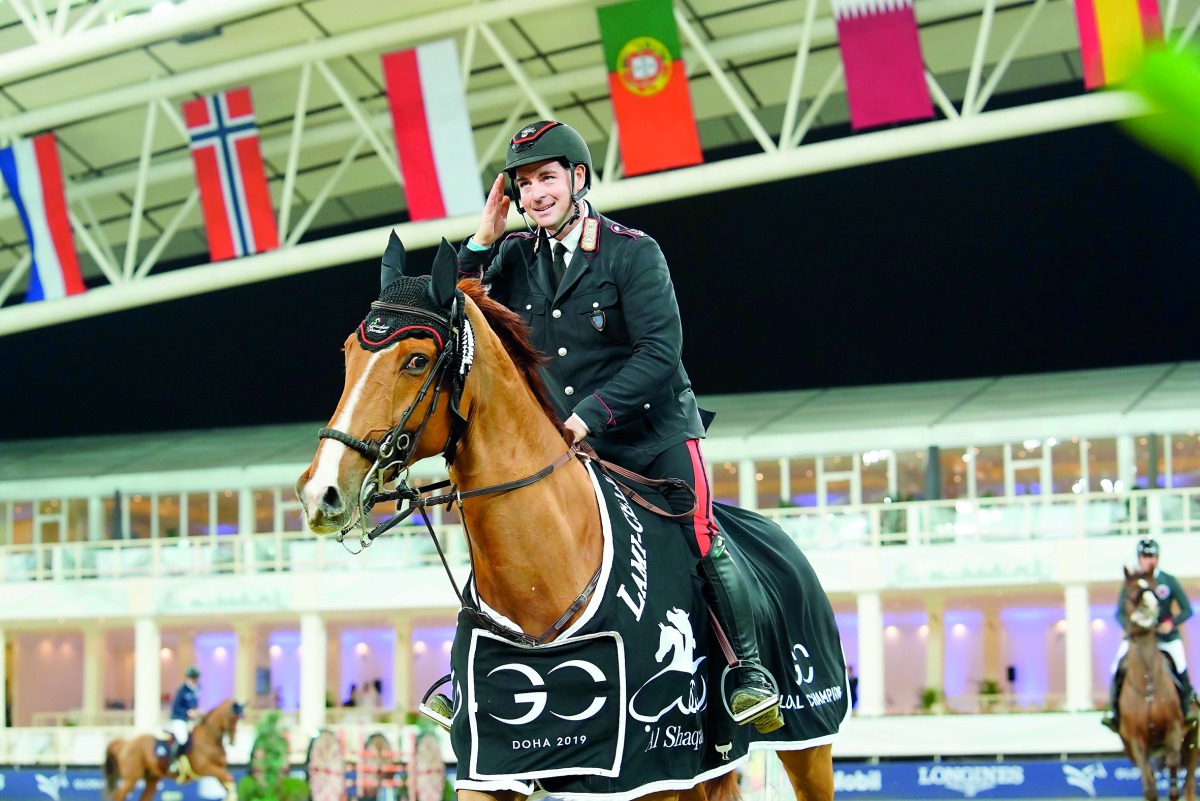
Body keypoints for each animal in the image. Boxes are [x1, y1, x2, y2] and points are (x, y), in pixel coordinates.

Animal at [105, 695, 241, 801]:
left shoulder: (219, 768)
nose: (233, 741)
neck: (208, 738)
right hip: (131, 778)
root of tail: (127, 743)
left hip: (151, 779)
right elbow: (229, 778)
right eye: (232, 718)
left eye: (239, 718)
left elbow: (229, 781)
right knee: (118, 795)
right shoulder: (205, 767)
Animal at [300, 241, 835, 801]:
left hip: (807, 747)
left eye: (417, 360)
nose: (320, 493)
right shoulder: (493, 768)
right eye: (348, 354)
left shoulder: (647, 773)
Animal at [1118, 568, 1195, 801]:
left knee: (1188, 784)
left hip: (1192, 744)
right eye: (1130, 590)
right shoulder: (1136, 741)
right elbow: (1150, 788)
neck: (1147, 683)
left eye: (1153, 589)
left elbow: (1173, 768)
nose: (1150, 606)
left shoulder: (1174, 730)